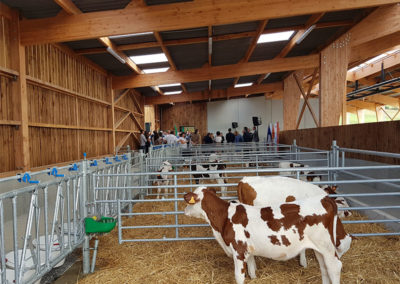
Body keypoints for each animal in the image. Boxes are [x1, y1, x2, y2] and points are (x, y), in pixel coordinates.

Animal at [184, 186, 350, 284]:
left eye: (189, 202)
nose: (184, 211)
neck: (225, 218)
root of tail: (324, 199)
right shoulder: (248, 251)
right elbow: (251, 270)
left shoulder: (238, 251)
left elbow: (239, 276)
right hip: (319, 248)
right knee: (324, 267)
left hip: (327, 247)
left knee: (334, 267)